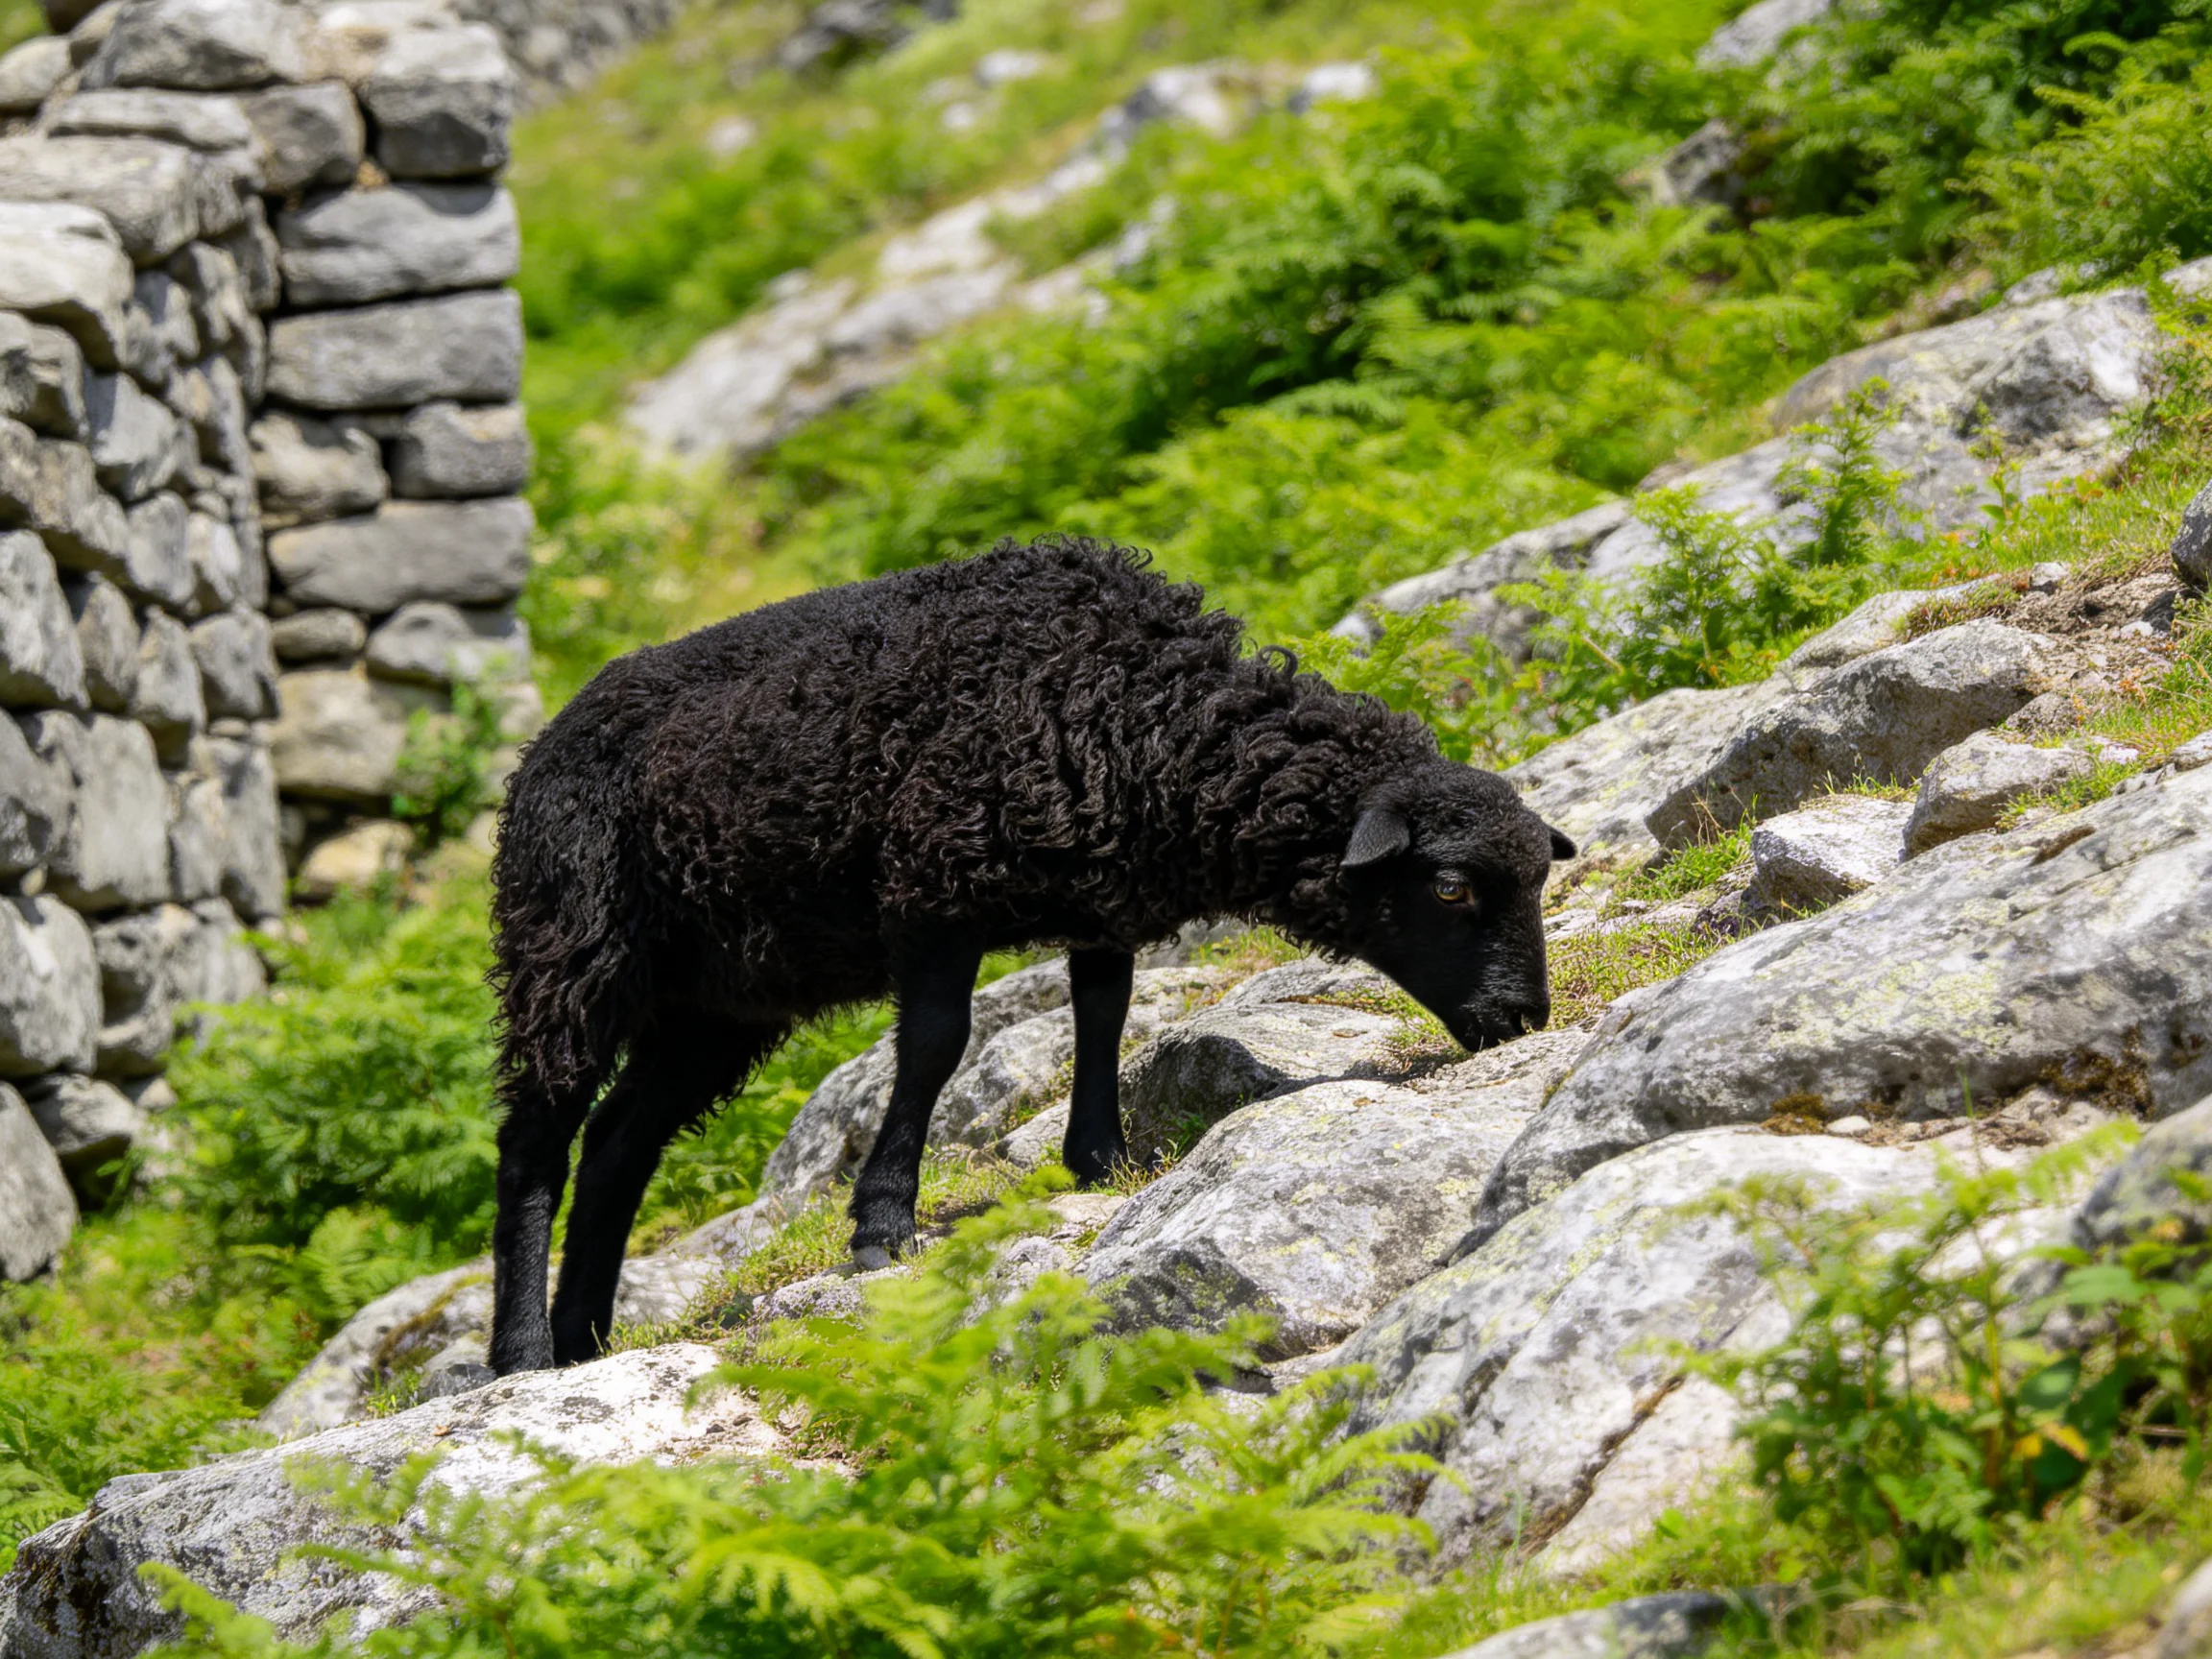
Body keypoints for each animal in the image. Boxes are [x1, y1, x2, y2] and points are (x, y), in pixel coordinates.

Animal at [486, 537, 1575, 1374]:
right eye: (1450, 888)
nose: (1524, 1019)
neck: (1141, 713)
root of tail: (547, 741)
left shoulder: (1098, 899)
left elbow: (1105, 1010)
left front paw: (1098, 1160)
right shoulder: (931, 889)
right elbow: (935, 1043)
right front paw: (882, 1226)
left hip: (716, 1001)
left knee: (619, 1141)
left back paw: (583, 1338)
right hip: (569, 951)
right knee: (537, 1142)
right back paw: (522, 1351)